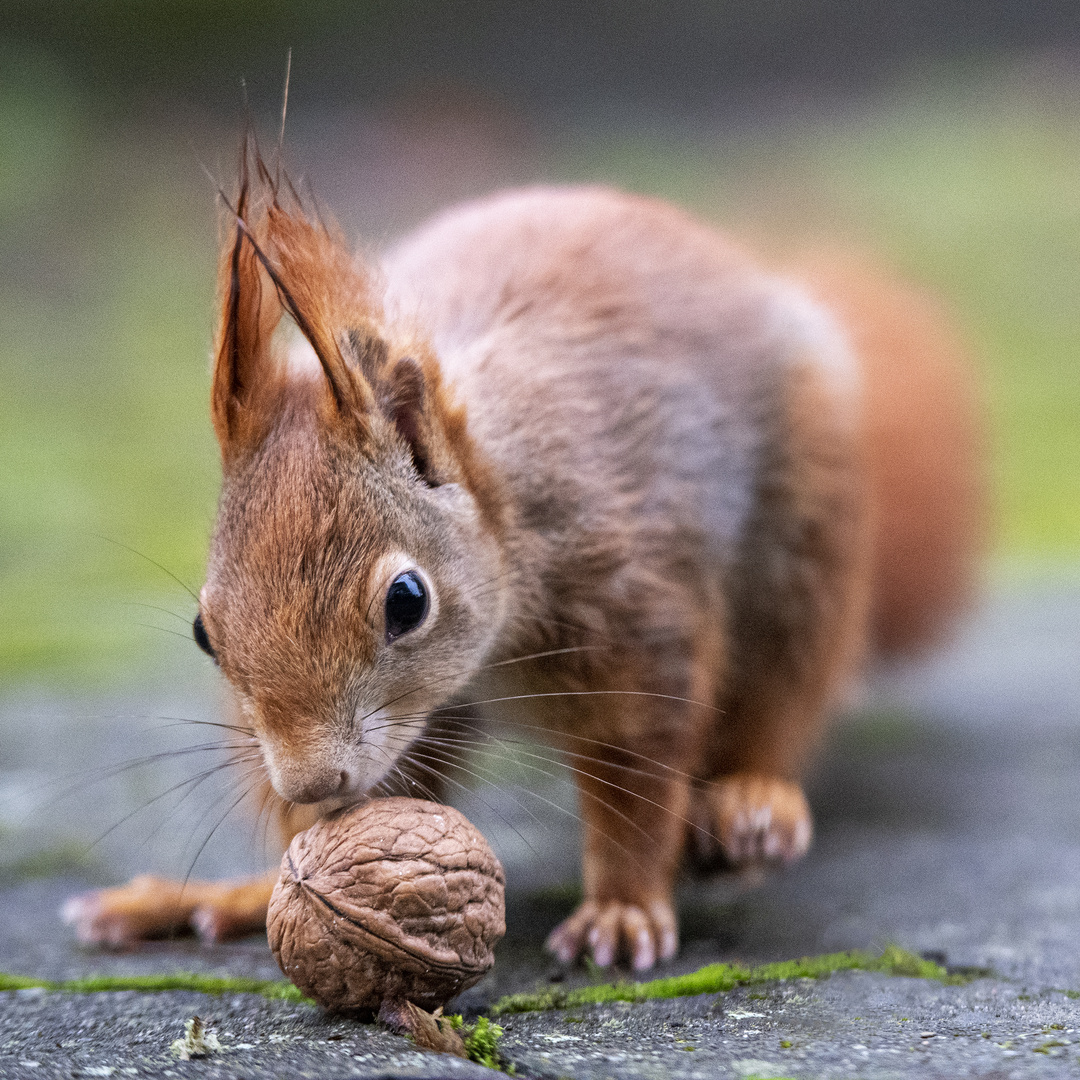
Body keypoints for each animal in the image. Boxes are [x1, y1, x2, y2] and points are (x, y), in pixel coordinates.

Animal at [63, 141, 984, 972]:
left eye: (407, 601)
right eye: (203, 633)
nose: (313, 785)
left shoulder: (634, 623)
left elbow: (635, 783)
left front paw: (622, 910)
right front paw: (279, 877)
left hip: (806, 546)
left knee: (786, 692)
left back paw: (752, 802)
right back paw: (229, 896)